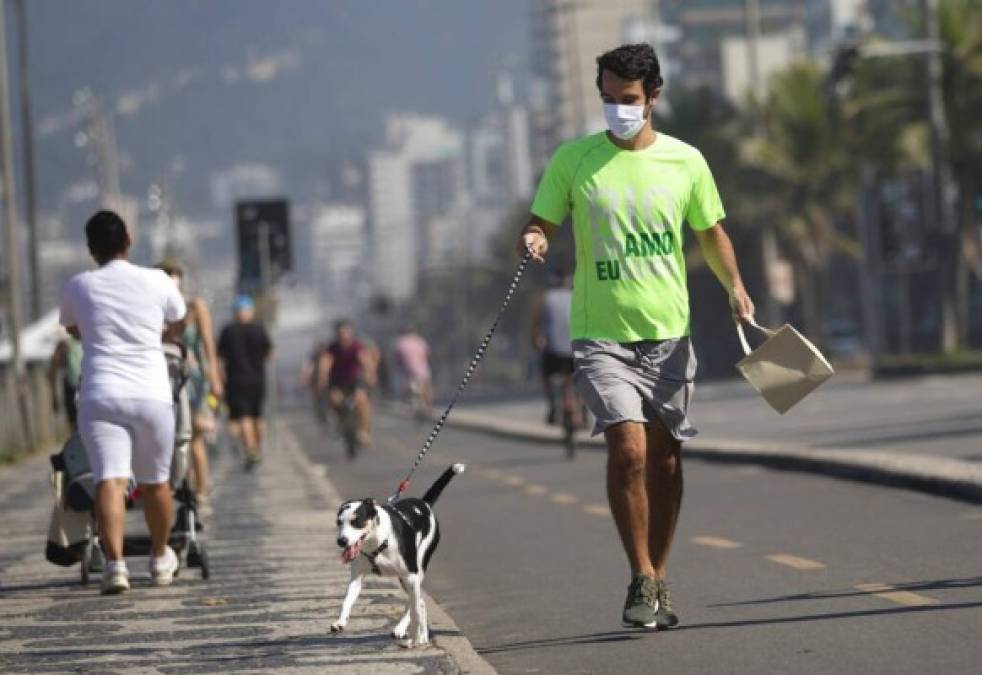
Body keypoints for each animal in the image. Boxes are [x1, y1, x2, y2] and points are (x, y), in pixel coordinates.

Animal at [332, 462, 468, 648]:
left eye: (356, 521)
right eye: (339, 522)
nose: (341, 541)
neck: (379, 542)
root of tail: (425, 504)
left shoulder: (411, 575)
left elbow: (415, 609)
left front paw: (414, 638)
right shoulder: (357, 579)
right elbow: (346, 600)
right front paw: (340, 622)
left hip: (414, 573)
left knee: (416, 603)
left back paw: (411, 634)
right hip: (405, 580)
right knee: (421, 602)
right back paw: (420, 636)